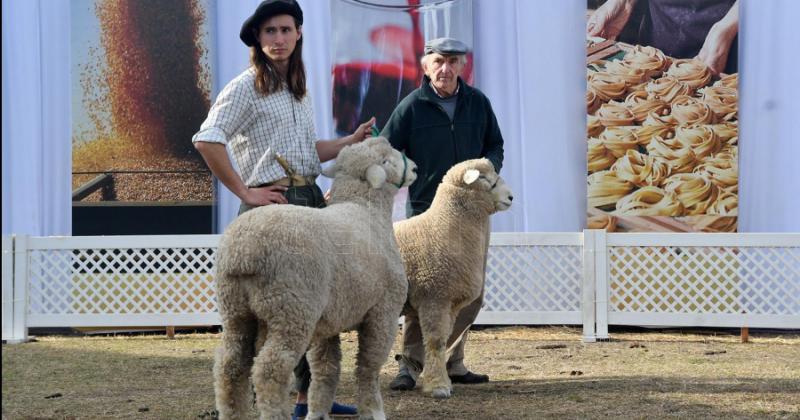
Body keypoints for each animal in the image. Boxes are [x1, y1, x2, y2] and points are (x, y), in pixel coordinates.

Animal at [212, 136, 418, 418]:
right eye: (386, 160)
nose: (415, 168)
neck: (366, 209)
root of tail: (243, 251)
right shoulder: (383, 313)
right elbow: (369, 367)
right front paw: (374, 410)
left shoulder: (328, 321)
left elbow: (326, 369)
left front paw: (318, 411)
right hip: (292, 308)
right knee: (270, 370)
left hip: (236, 311)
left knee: (230, 366)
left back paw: (233, 412)